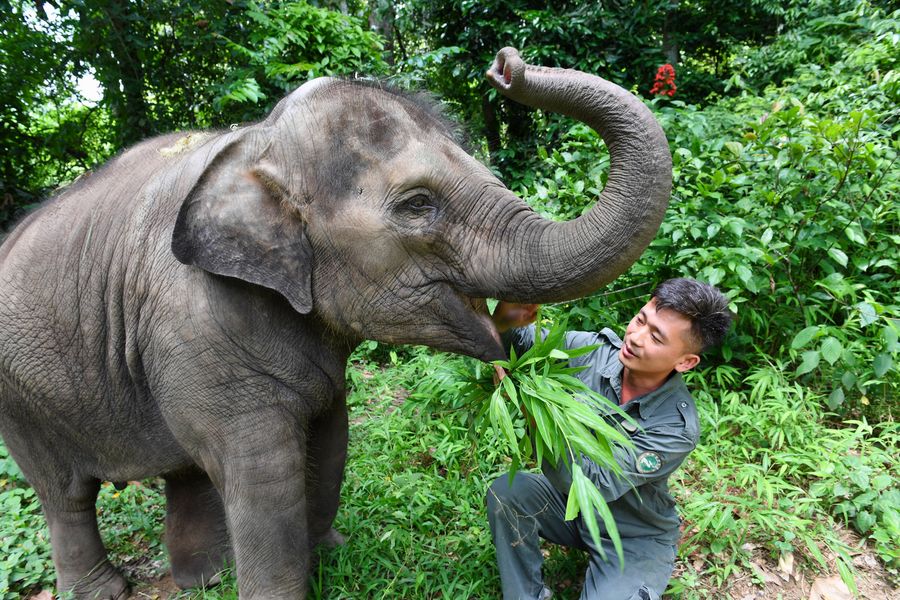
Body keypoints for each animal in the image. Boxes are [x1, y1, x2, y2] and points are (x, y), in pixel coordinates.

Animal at [0, 48, 668, 600]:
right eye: (417, 205)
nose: (505, 64)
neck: (257, 142)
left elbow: (331, 434)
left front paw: (330, 556)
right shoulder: (197, 325)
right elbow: (264, 476)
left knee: (182, 466)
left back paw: (206, 577)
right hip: (21, 393)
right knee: (65, 494)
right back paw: (106, 589)